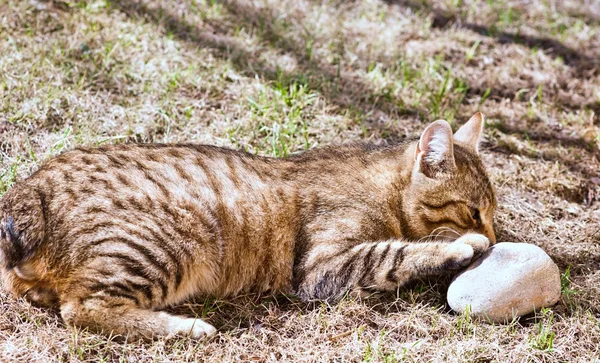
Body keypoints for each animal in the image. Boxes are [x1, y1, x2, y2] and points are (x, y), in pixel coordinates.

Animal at [0, 113, 496, 342]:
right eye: (473, 212)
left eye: (495, 212)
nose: (494, 238)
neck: (385, 187)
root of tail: (31, 188)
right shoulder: (320, 268)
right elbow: (395, 252)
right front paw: (461, 247)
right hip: (170, 241)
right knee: (83, 308)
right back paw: (188, 328)